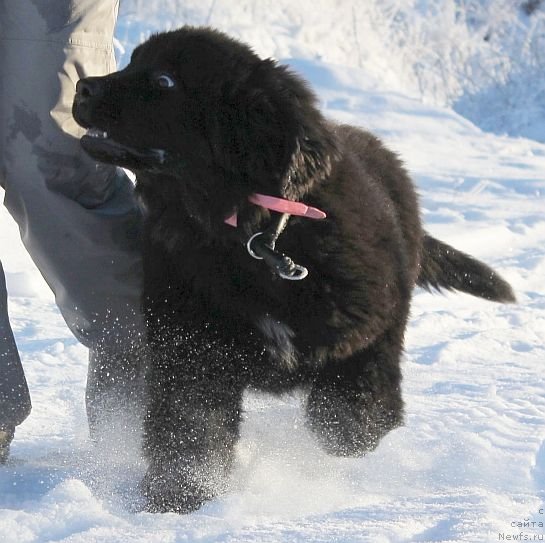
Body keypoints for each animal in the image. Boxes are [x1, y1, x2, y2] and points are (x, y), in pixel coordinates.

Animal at [73, 24, 516, 510]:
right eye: (132, 62)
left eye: (164, 80)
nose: (81, 87)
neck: (248, 235)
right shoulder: (192, 347)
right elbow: (189, 429)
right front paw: (178, 496)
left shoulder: (367, 331)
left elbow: (349, 415)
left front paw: (348, 450)